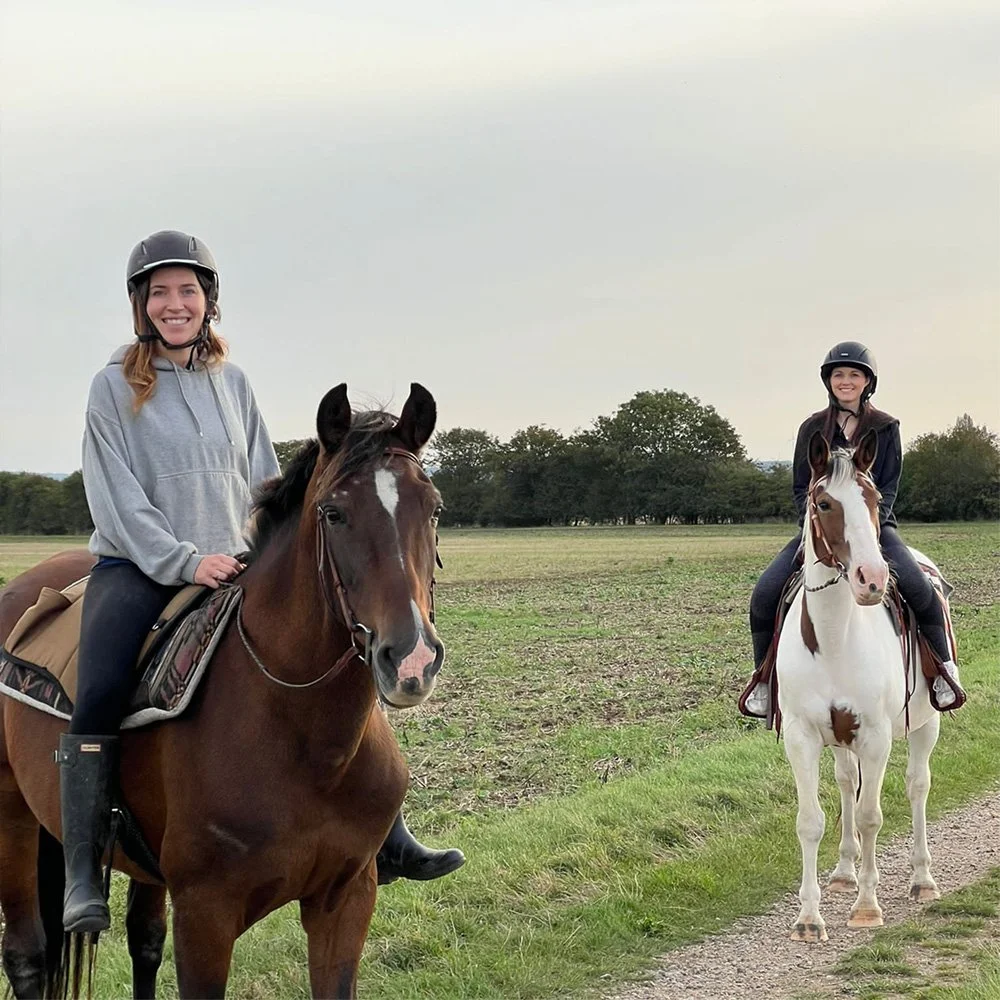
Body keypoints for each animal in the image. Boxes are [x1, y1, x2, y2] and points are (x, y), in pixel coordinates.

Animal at [0, 382, 446, 998]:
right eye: (333, 513)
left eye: (433, 508)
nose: (411, 659)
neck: (302, 736)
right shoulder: (206, 917)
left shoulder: (346, 900)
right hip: (12, 817)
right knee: (27, 958)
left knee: (144, 941)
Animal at [776, 429, 942, 943]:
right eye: (824, 502)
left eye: (873, 499)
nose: (873, 578)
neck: (834, 639)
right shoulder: (802, 738)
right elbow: (810, 821)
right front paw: (809, 918)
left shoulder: (875, 736)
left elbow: (872, 817)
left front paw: (867, 907)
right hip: (841, 740)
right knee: (848, 785)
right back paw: (846, 872)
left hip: (926, 726)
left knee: (917, 786)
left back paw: (922, 879)